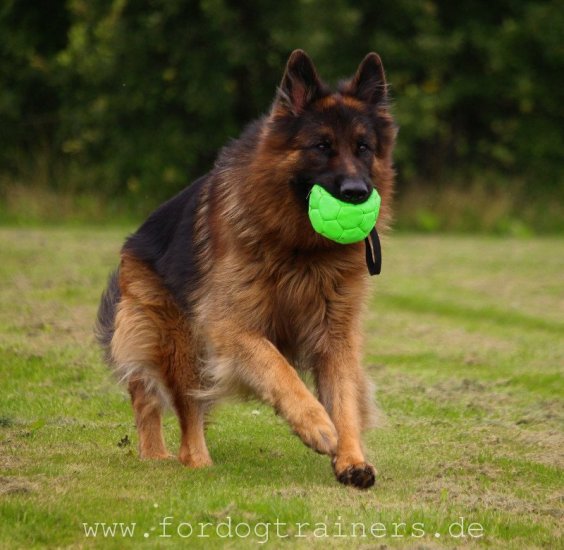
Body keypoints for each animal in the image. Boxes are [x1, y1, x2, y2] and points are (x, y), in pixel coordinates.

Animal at [96, 49, 396, 490]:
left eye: (363, 147)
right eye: (321, 145)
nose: (357, 194)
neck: (302, 251)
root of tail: (133, 241)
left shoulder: (335, 333)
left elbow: (343, 395)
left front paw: (351, 457)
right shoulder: (231, 326)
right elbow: (276, 366)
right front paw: (315, 424)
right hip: (181, 343)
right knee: (174, 408)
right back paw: (191, 460)